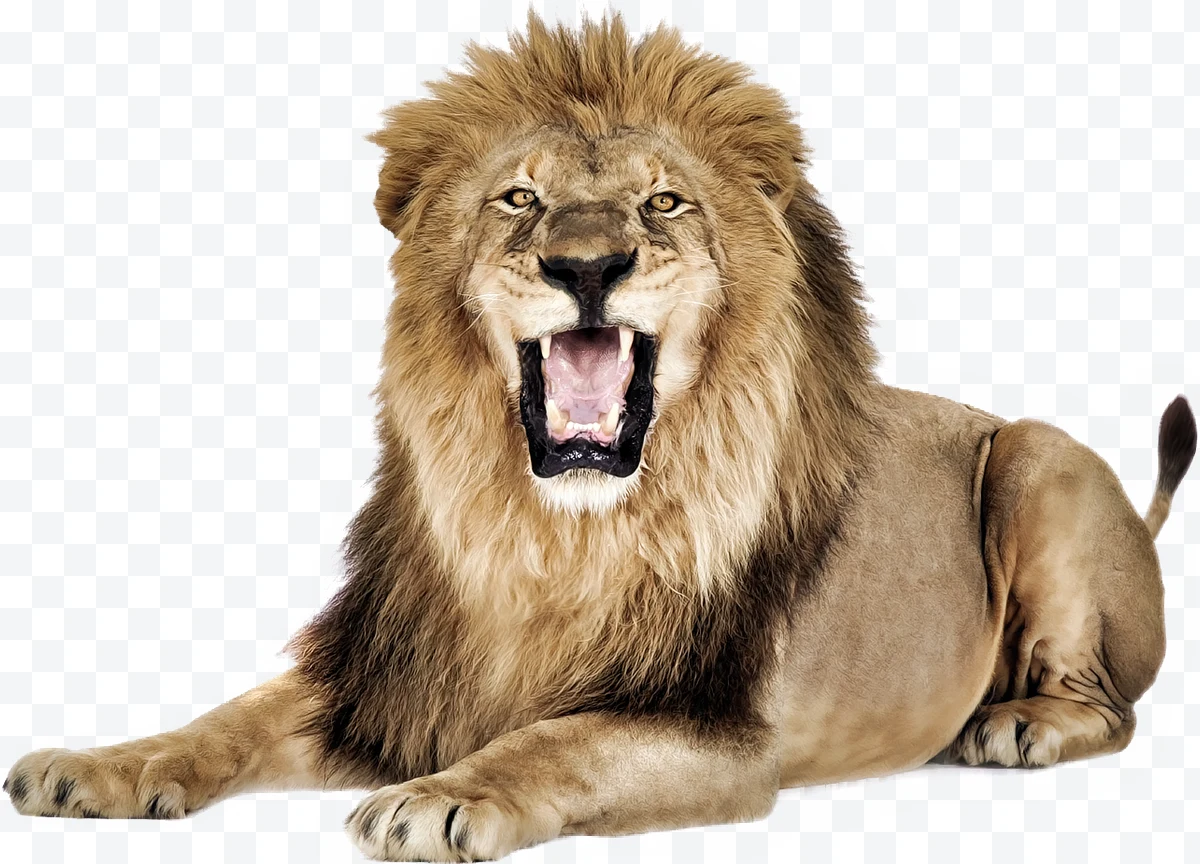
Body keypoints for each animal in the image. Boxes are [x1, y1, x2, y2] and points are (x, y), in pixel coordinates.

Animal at [6, 14, 1196, 862]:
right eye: (518, 199)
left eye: (663, 203)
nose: (586, 265)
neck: (549, 533)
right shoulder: (388, 675)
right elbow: (226, 718)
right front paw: (94, 767)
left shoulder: (720, 733)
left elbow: (559, 736)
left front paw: (443, 797)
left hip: (1038, 456)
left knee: (1114, 707)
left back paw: (1015, 725)